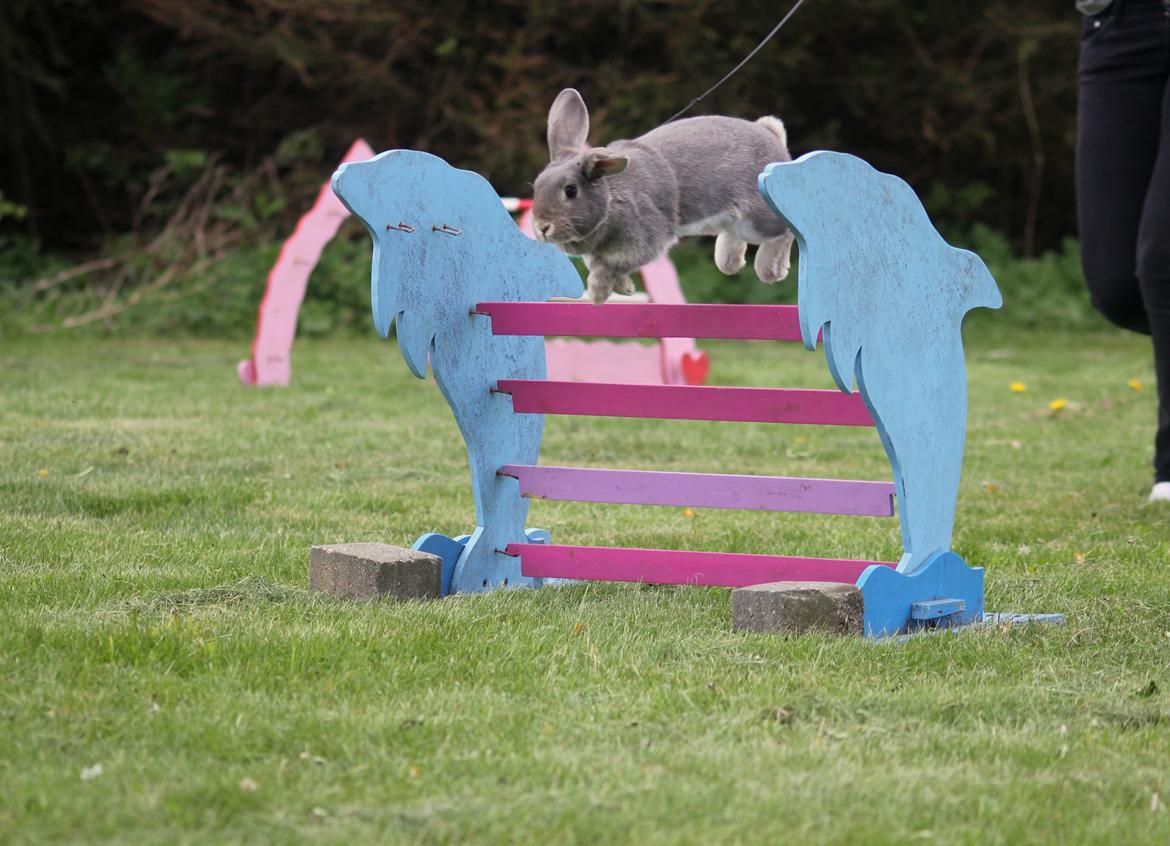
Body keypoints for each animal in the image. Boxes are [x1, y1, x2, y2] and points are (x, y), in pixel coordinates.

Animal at [533, 88, 795, 304]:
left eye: (571, 190)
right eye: (536, 187)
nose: (542, 227)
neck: (609, 199)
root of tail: (772, 137)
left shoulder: (644, 240)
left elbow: (608, 265)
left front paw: (598, 293)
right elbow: (601, 265)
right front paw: (625, 288)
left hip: (757, 220)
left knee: (787, 230)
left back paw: (770, 270)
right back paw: (729, 263)